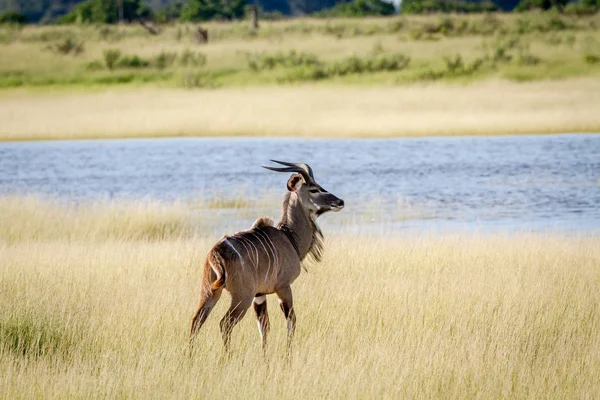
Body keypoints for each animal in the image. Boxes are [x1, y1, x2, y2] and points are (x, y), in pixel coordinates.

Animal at [190, 161, 344, 352]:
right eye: (314, 189)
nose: (340, 201)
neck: (289, 237)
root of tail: (216, 253)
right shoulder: (283, 287)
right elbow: (291, 322)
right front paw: (288, 354)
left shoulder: (260, 295)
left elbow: (264, 328)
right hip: (241, 297)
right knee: (225, 324)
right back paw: (227, 356)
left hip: (210, 292)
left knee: (196, 321)